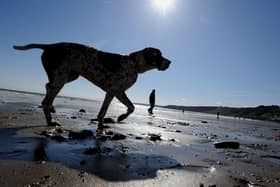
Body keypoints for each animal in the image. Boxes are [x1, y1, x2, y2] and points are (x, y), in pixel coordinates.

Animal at [13, 41, 171, 128]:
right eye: (158, 55)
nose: (170, 62)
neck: (133, 64)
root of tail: (50, 46)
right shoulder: (116, 91)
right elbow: (129, 107)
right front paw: (120, 117)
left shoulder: (114, 92)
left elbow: (108, 110)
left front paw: (104, 124)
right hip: (61, 78)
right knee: (47, 99)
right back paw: (50, 121)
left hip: (70, 76)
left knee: (47, 88)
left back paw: (51, 109)